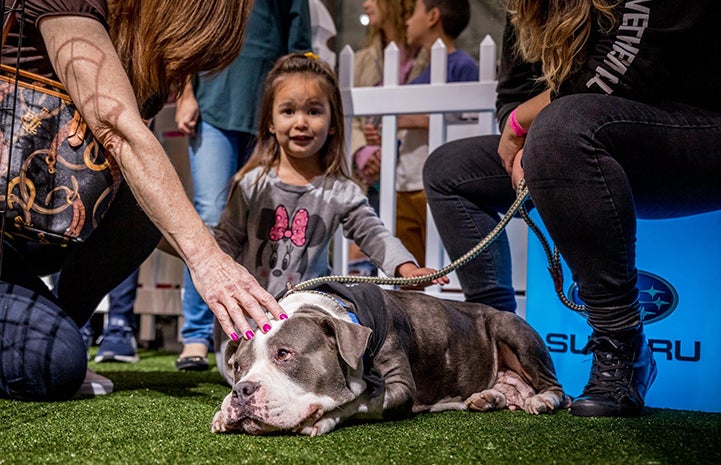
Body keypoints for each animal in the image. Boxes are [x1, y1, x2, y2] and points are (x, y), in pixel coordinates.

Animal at [211, 280, 572, 436]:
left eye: (284, 354)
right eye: (238, 366)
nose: (241, 391)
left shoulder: (399, 387)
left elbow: (356, 402)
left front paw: (325, 418)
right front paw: (221, 413)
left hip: (510, 328)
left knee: (555, 387)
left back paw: (542, 400)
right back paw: (489, 397)